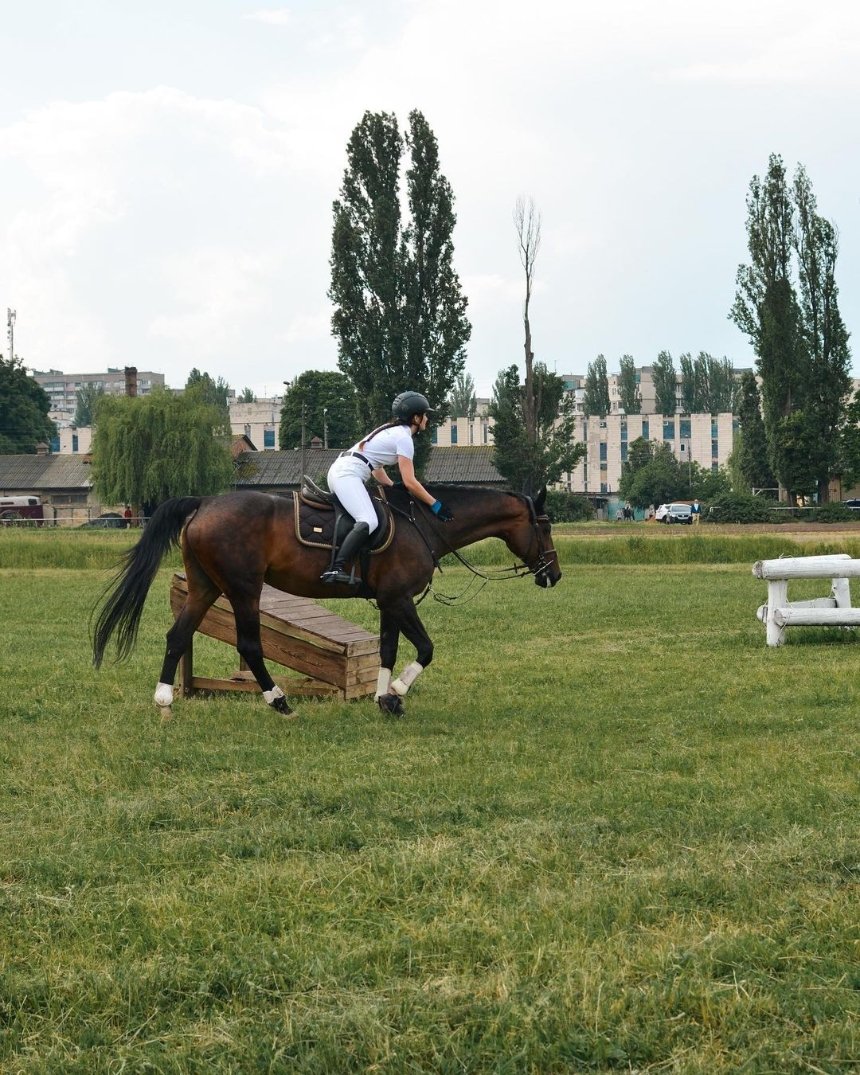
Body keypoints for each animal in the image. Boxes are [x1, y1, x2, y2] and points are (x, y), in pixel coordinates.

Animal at [90, 485, 559, 718]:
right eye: (545, 526)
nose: (554, 575)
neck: (424, 523)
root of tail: (204, 503)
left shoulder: (389, 601)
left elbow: (387, 651)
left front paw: (383, 698)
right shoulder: (399, 599)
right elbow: (425, 649)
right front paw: (397, 693)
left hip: (206, 586)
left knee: (177, 634)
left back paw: (165, 699)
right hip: (244, 589)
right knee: (249, 646)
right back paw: (278, 701)